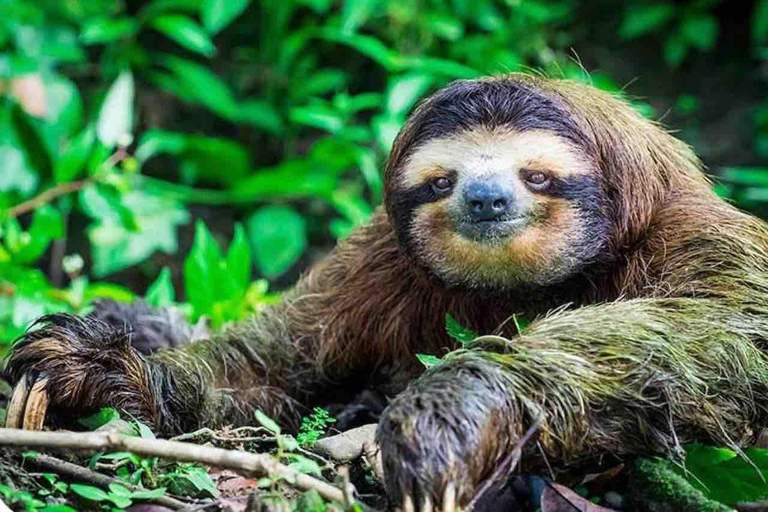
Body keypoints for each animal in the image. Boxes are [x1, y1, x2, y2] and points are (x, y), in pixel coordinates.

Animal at [6, 74, 768, 511]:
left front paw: (456, 409)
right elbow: (273, 361)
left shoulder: (694, 233)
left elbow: (726, 328)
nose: (485, 198)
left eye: (536, 174)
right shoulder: (374, 262)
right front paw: (105, 369)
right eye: (441, 181)